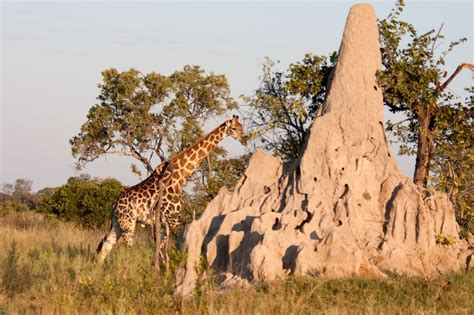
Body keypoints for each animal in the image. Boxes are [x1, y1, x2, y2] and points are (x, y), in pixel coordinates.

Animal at [95, 115, 246, 262]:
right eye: (234, 128)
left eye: (241, 127)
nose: (244, 140)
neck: (179, 178)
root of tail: (114, 206)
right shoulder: (172, 218)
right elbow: (172, 246)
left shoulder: (165, 221)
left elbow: (162, 249)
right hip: (128, 224)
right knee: (127, 249)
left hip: (117, 224)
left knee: (105, 249)